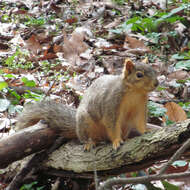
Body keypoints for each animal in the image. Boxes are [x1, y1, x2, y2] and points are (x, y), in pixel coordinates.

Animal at [16, 58, 159, 151]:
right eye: (139, 75)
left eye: (154, 70)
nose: (156, 83)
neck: (135, 92)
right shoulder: (111, 104)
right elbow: (112, 124)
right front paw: (116, 141)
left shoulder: (140, 107)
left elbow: (140, 121)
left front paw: (145, 131)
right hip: (85, 122)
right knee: (87, 138)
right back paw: (90, 143)